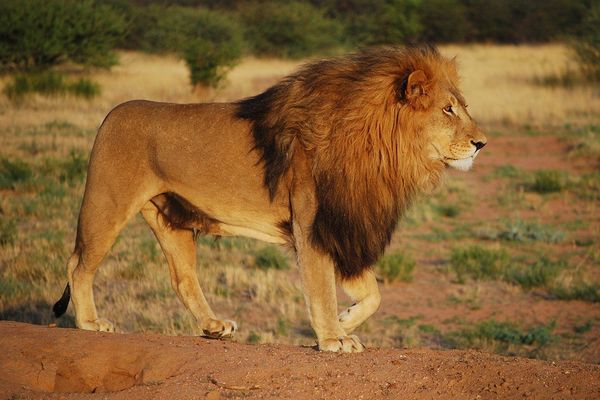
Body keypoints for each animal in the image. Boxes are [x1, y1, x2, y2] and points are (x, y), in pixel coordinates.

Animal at [52, 44, 488, 354]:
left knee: (183, 279)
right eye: (448, 110)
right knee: (78, 264)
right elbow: (321, 287)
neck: (381, 149)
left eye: (462, 107)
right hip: (107, 204)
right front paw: (332, 338)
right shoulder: (313, 224)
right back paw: (91, 323)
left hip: (171, 219)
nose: (482, 143)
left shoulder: (342, 226)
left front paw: (344, 321)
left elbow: (374, 294)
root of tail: (111, 113)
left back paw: (214, 327)